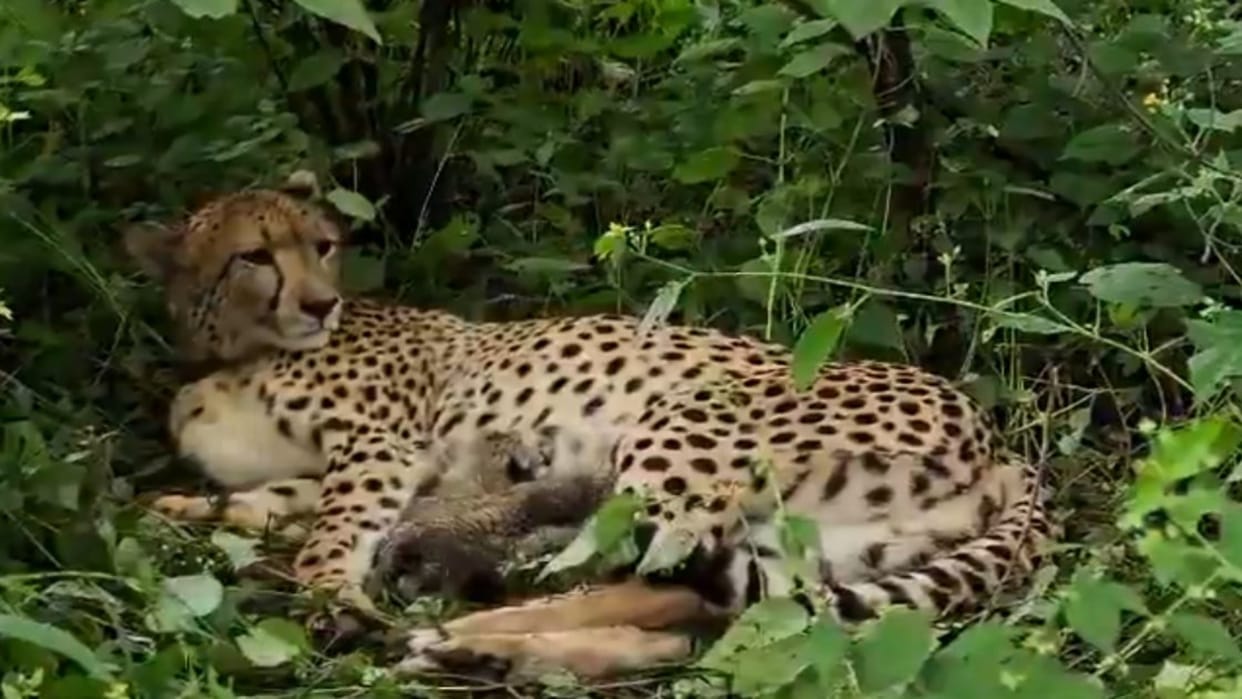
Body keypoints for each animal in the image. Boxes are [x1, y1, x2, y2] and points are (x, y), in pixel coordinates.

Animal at [123, 172, 1055, 681]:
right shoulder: (323, 470)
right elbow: (260, 503)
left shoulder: (383, 445)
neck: (240, 349)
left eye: (319, 244)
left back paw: (465, 635)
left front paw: (331, 598)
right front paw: (176, 514)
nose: (321, 303)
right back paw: (484, 652)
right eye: (254, 256)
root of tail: (1000, 440)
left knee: (652, 575)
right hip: (820, 536)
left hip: (677, 431)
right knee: (703, 611)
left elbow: (332, 528)